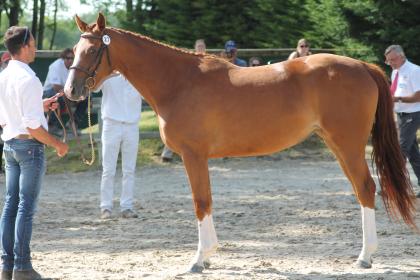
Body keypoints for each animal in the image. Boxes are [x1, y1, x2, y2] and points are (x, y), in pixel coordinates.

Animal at [64, 13, 416, 274]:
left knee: (366, 189)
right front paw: (207, 256)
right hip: (337, 143)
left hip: (348, 143)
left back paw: (365, 257)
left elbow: (200, 202)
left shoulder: (193, 155)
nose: (71, 91)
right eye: (75, 50)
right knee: (360, 190)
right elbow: (205, 201)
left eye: (93, 51)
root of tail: (363, 67)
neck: (179, 82)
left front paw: (198, 260)